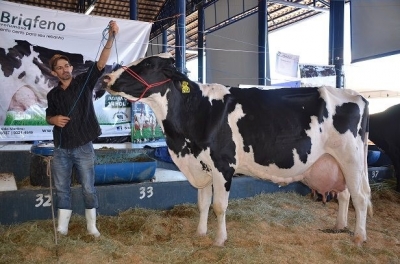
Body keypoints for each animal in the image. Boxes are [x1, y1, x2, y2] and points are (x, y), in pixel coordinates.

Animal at [102, 52, 372, 246]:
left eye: (148, 64)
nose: (106, 77)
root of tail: (357, 95)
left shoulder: (223, 165)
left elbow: (219, 206)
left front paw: (219, 240)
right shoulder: (202, 165)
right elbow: (202, 203)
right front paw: (200, 233)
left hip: (351, 159)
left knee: (360, 196)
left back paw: (359, 237)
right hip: (337, 162)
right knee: (345, 194)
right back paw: (339, 226)